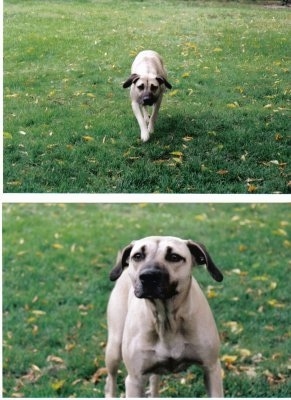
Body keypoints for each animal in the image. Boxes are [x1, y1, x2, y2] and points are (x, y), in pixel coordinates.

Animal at [106, 236, 225, 396]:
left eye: (174, 257)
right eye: (137, 256)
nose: (148, 276)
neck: (166, 319)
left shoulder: (211, 369)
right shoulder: (134, 380)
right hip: (114, 348)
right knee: (110, 381)